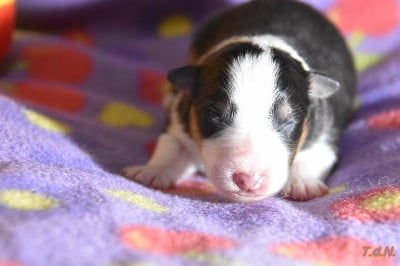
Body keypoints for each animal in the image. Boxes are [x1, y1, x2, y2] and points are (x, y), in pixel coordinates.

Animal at [122, 0, 356, 202]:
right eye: (214, 114)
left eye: (288, 120)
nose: (248, 180)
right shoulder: (180, 117)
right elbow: (171, 144)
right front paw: (151, 172)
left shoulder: (324, 127)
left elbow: (317, 154)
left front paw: (303, 184)